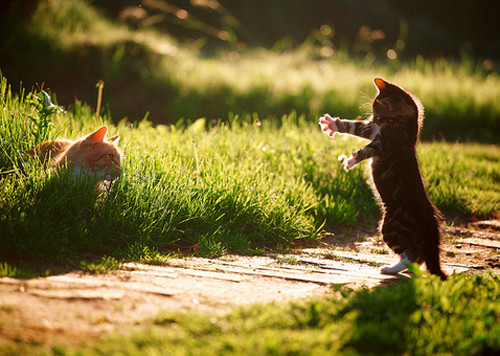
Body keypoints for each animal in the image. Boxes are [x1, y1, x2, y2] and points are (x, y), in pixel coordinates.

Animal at [318, 78, 448, 280]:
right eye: (373, 115)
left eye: (379, 115)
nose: (373, 119)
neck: (406, 125)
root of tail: (431, 228)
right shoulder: (372, 130)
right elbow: (355, 126)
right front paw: (332, 124)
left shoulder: (385, 141)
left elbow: (367, 149)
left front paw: (352, 160)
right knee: (417, 257)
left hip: (390, 227)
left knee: (412, 255)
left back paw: (391, 268)